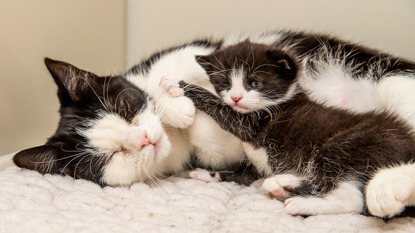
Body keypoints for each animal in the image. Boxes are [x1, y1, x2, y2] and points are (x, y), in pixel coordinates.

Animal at [176, 41, 415, 218]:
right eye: (224, 84)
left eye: (255, 83)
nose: (236, 98)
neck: (281, 100)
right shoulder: (256, 162)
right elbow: (241, 172)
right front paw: (206, 174)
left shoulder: (256, 122)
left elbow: (225, 112)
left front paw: (185, 87)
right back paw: (284, 185)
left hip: (343, 144)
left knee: (352, 199)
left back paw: (300, 203)